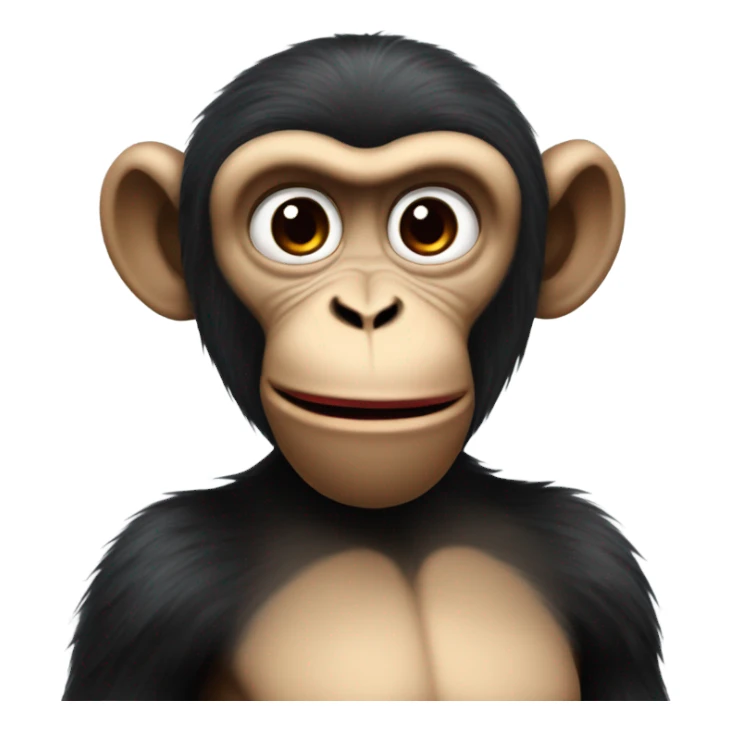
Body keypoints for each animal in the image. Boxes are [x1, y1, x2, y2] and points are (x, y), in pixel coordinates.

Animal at [63, 34, 667, 701]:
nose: (369, 311)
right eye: (296, 224)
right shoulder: (151, 583)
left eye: (429, 225)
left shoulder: (598, 563)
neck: (390, 526)